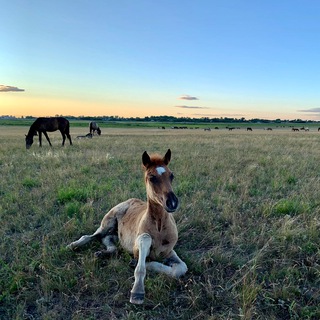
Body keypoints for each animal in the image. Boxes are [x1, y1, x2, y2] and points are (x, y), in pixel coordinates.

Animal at [67, 149, 188, 304]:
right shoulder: (138, 244)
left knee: (108, 240)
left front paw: (141, 263)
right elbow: (143, 252)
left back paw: (103, 253)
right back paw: (73, 245)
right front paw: (137, 291)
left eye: (171, 175)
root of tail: (129, 200)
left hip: (115, 233)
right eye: (152, 177)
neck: (160, 226)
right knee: (92, 236)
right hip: (108, 222)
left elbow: (180, 269)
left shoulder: (169, 252)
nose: (172, 203)